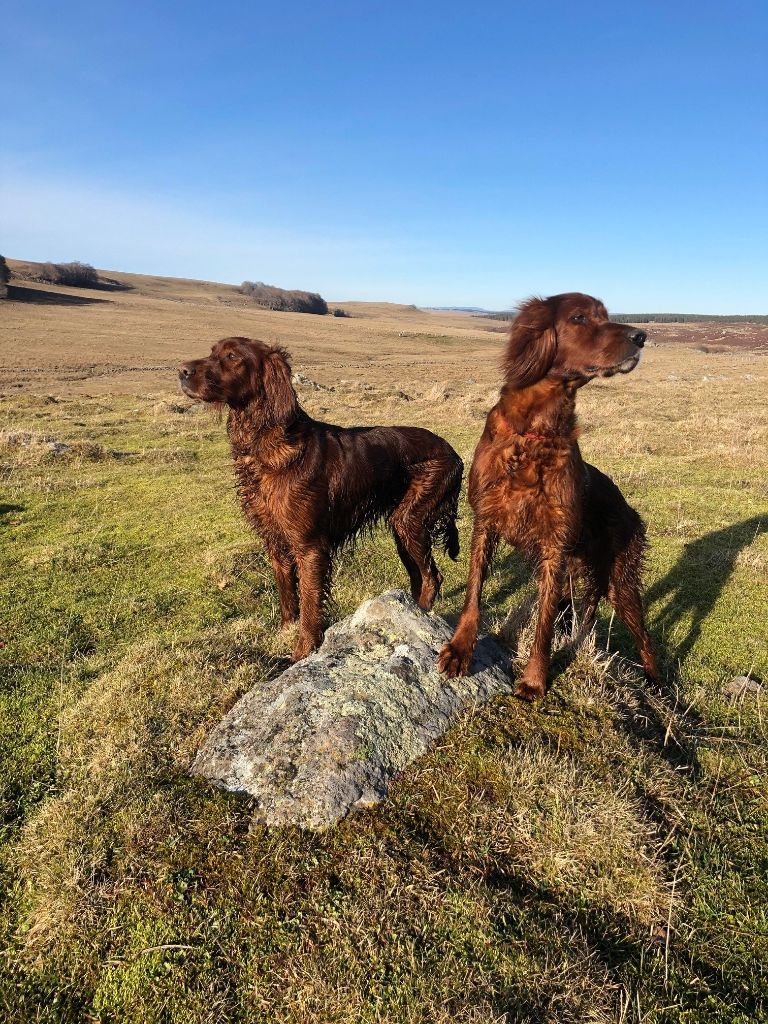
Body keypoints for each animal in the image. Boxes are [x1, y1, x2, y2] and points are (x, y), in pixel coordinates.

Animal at [180, 333, 462, 655]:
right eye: (213, 351)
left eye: (232, 356)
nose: (182, 371)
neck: (266, 443)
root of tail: (454, 453)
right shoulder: (275, 541)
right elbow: (287, 595)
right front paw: (285, 632)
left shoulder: (310, 546)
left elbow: (311, 604)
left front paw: (303, 651)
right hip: (401, 527)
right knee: (419, 576)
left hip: (410, 519)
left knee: (432, 577)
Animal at [442, 292, 659, 700]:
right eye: (580, 318)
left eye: (606, 315)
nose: (641, 336)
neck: (535, 431)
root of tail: (629, 509)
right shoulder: (486, 520)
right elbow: (473, 595)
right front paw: (460, 650)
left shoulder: (554, 544)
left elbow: (543, 620)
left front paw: (534, 680)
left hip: (619, 579)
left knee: (643, 637)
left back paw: (657, 686)